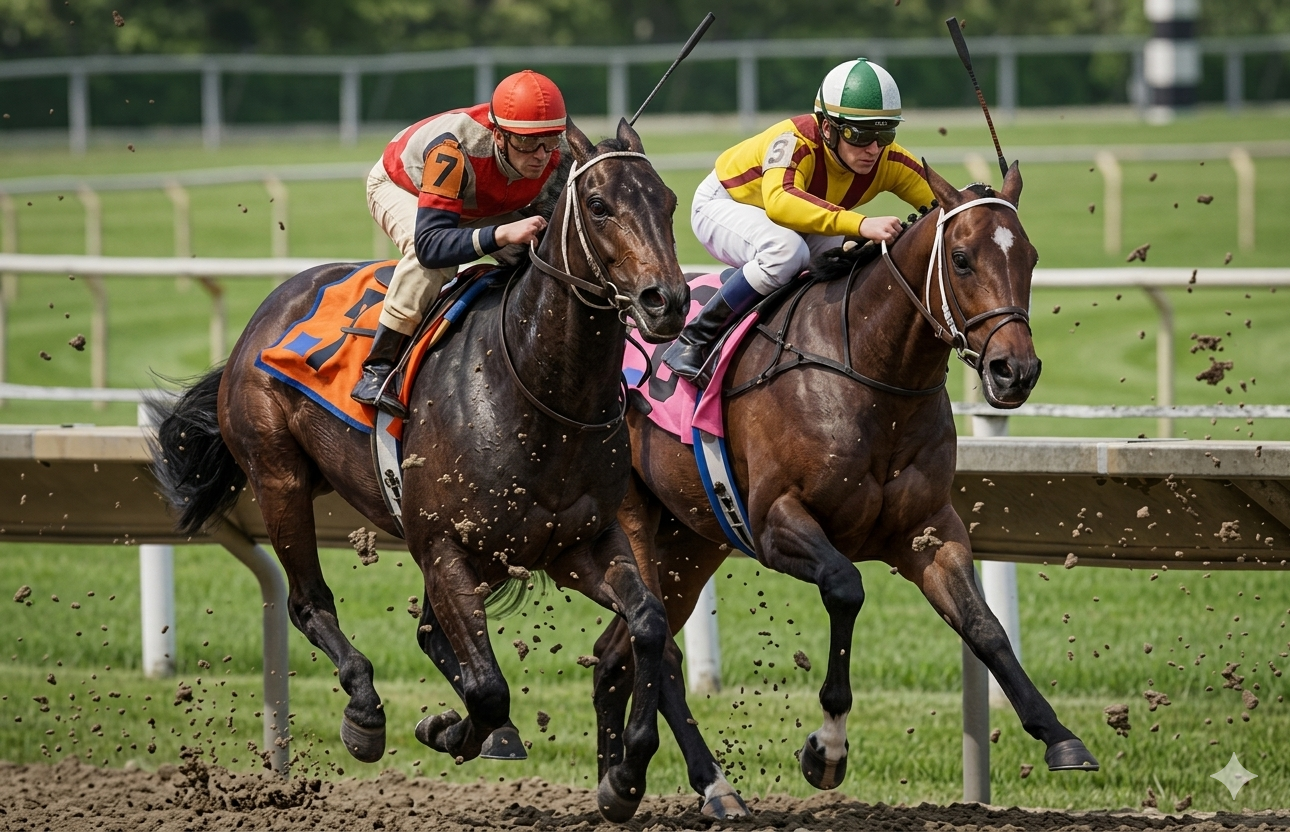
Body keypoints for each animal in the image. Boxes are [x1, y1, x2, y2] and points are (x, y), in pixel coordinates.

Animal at [151, 119, 691, 822]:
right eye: (598, 206)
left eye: (668, 202)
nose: (666, 301)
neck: (537, 390)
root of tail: (269, 308)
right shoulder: (443, 545)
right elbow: (488, 689)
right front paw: (448, 730)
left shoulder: (580, 543)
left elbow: (648, 622)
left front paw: (624, 774)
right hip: (279, 476)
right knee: (308, 602)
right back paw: (365, 712)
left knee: (433, 634)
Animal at [592, 161, 1099, 817]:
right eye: (961, 259)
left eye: (1031, 257)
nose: (1015, 371)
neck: (871, 374)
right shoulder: (776, 523)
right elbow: (846, 587)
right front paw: (826, 749)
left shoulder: (928, 531)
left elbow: (985, 627)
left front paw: (1059, 736)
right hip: (636, 519)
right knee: (657, 644)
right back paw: (684, 781)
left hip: (693, 539)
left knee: (616, 652)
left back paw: (625, 781)